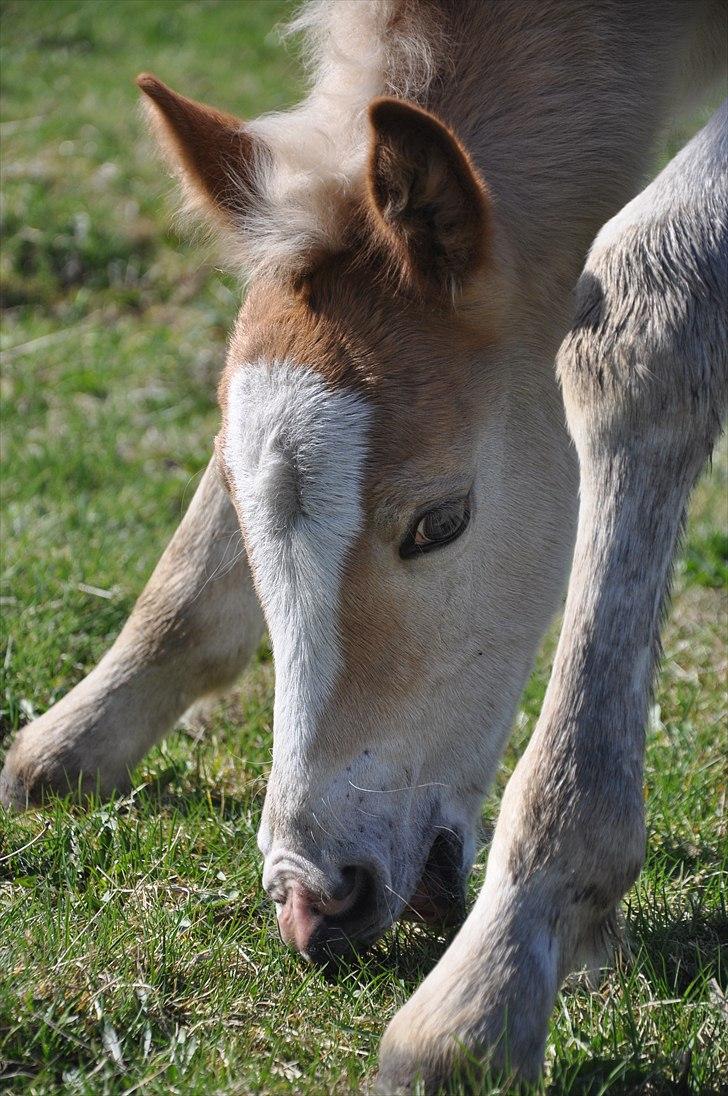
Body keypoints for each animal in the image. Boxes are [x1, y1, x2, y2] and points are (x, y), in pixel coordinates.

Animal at [2, 4, 723, 1091]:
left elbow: (653, 302)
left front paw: (502, 966)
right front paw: (83, 730)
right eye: (245, 510)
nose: (313, 897)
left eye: (440, 522)